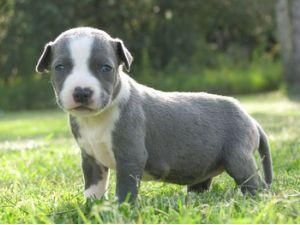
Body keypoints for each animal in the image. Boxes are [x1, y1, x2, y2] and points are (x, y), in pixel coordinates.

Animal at [36, 27, 274, 203]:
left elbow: (125, 188)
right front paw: (91, 208)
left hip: (239, 157)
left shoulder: (130, 156)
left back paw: (254, 199)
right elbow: (93, 187)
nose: (82, 92)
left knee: (254, 184)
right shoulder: (91, 158)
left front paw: (121, 209)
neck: (96, 119)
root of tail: (252, 120)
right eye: (60, 67)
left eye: (106, 68)